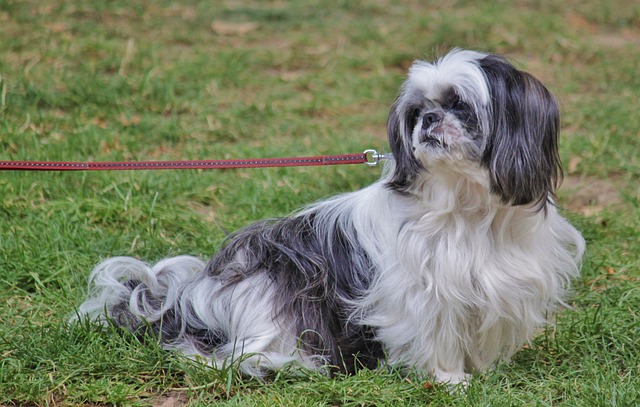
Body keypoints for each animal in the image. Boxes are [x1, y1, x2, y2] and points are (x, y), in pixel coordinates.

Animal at [74, 48, 584, 386]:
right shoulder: (422, 293)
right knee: (214, 354)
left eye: (459, 104)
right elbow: (436, 336)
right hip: (271, 292)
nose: (428, 120)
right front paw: (450, 380)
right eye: (417, 111)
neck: (466, 206)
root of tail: (184, 296)